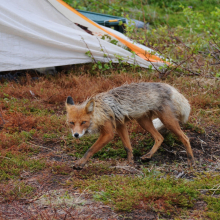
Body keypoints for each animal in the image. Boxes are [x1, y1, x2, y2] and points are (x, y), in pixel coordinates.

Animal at [65, 81, 194, 169]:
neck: (101, 111)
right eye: (71, 123)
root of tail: (168, 86)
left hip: (167, 121)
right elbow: (128, 147)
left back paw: (191, 161)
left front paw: (80, 163)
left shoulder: (108, 133)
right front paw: (130, 163)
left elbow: (90, 149)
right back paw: (148, 156)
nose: (76, 135)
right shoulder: (120, 125)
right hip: (143, 121)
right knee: (159, 137)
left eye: (83, 122)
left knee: (185, 138)